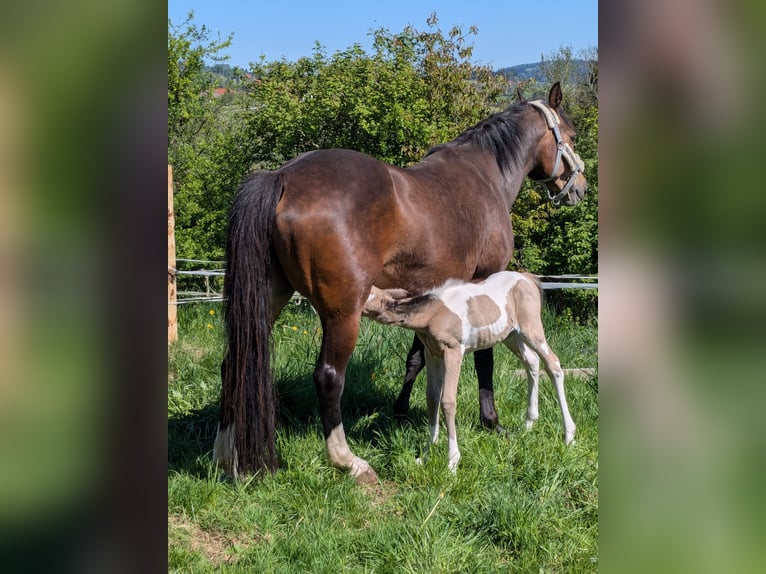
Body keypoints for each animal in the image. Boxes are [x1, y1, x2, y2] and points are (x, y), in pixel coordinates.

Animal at [364, 272, 577, 472]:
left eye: (367, 294)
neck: (434, 312)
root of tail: (527, 278)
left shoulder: (453, 351)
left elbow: (448, 401)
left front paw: (452, 461)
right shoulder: (432, 354)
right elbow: (432, 398)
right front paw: (425, 455)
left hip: (531, 330)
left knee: (553, 365)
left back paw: (569, 436)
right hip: (511, 335)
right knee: (532, 362)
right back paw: (528, 424)